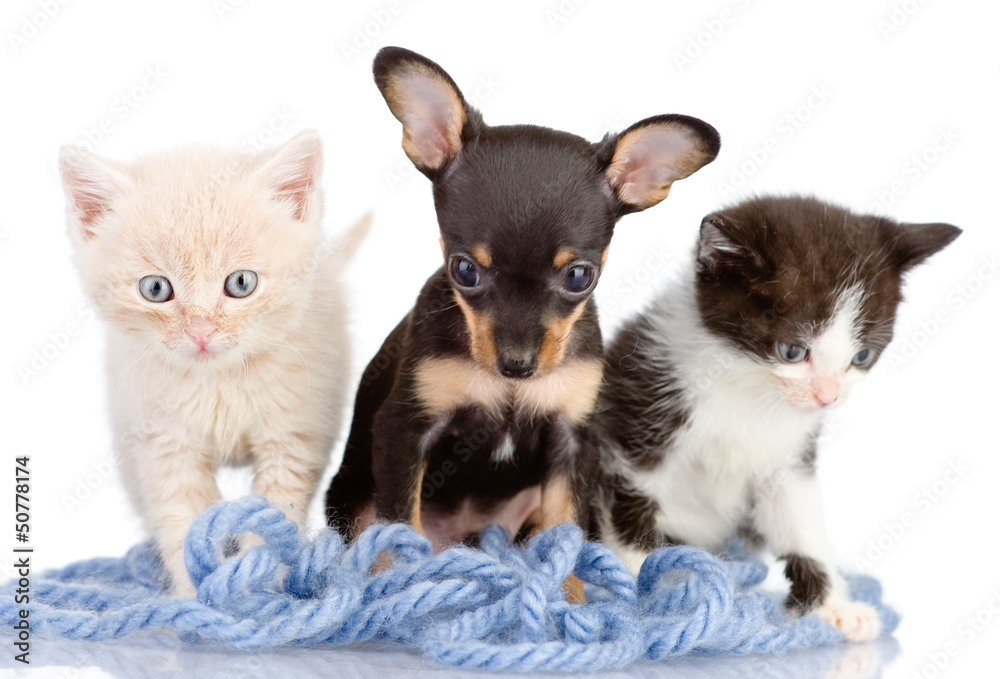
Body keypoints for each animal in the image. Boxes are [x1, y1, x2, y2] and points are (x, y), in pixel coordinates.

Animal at [58, 129, 366, 596]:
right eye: (155, 288)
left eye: (241, 283)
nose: (200, 332)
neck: (219, 380)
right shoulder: (166, 444)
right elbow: (181, 520)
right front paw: (193, 599)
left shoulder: (292, 436)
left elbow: (273, 515)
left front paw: (257, 591)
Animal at [592, 194, 960, 640]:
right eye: (791, 351)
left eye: (862, 356)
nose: (827, 397)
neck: (745, 387)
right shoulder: (633, 420)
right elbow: (630, 511)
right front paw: (644, 601)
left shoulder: (788, 456)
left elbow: (798, 519)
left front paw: (835, 607)